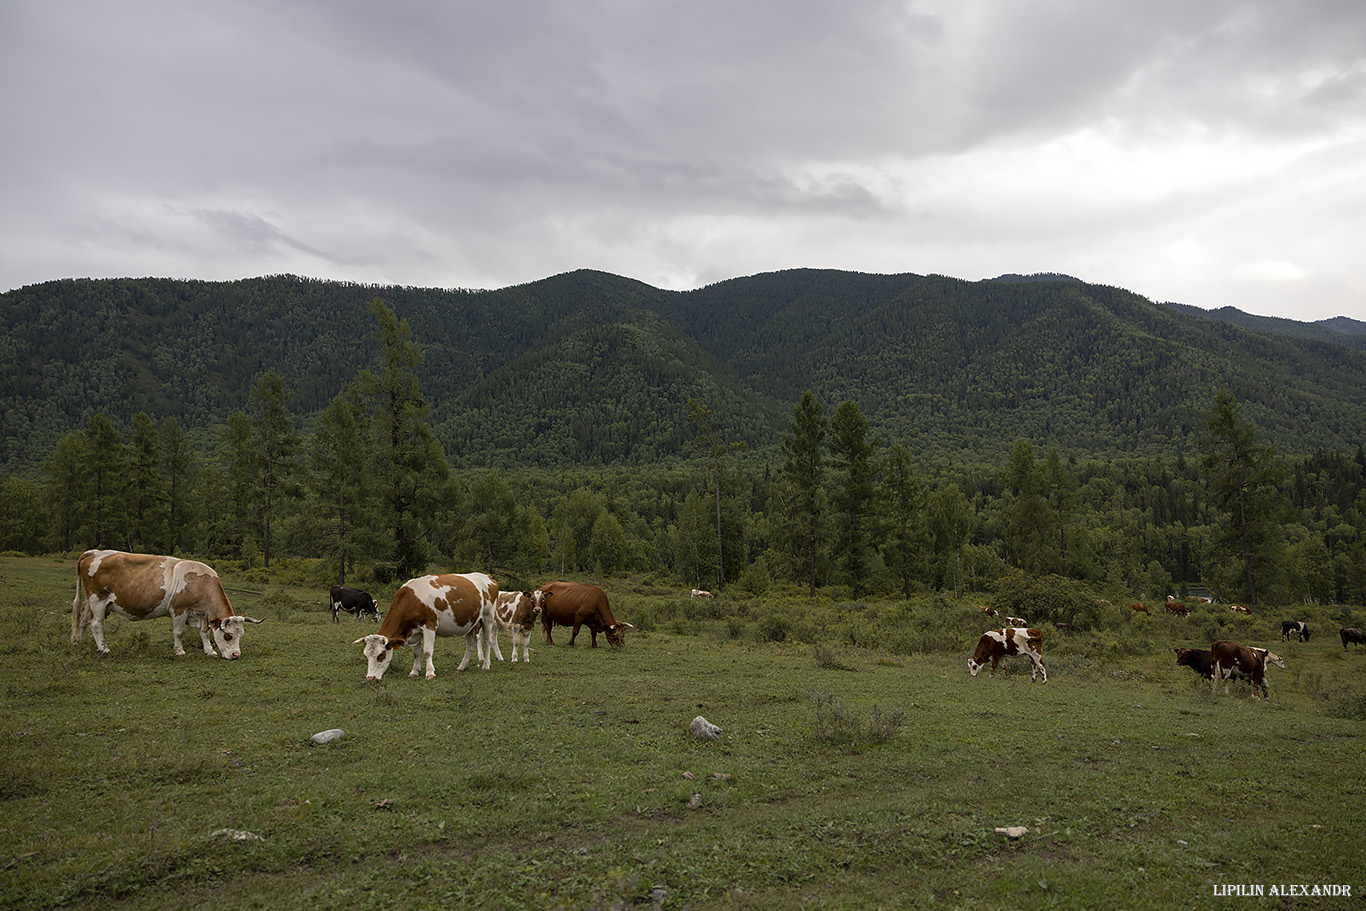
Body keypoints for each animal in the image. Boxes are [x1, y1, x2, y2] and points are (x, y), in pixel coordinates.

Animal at [71, 546, 260, 658]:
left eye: (240, 635)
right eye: (228, 636)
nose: (236, 654)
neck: (201, 582)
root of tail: (93, 552)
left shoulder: (202, 614)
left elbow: (204, 633)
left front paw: (210, 650)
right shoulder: (179, 610)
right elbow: (179, 632)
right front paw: (179, 651)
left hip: (90, 601)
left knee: (82, 619)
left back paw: (79, 643)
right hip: (98, 600)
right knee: (96, 623)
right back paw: (103, 648)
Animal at [355, 573, 499, 680]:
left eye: (381, 655)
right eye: (366, 656)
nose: (370, 678)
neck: (410, 600)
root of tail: (487, 576)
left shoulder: (429, 626)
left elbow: (427, 651)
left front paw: (430, 673)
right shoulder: (414, 631)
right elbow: (416, 653)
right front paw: (414, 671)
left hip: (487, 618)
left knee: (487, 641)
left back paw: (486, 665)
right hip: (470, 622)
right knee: (471, 644)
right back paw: (461, 667)